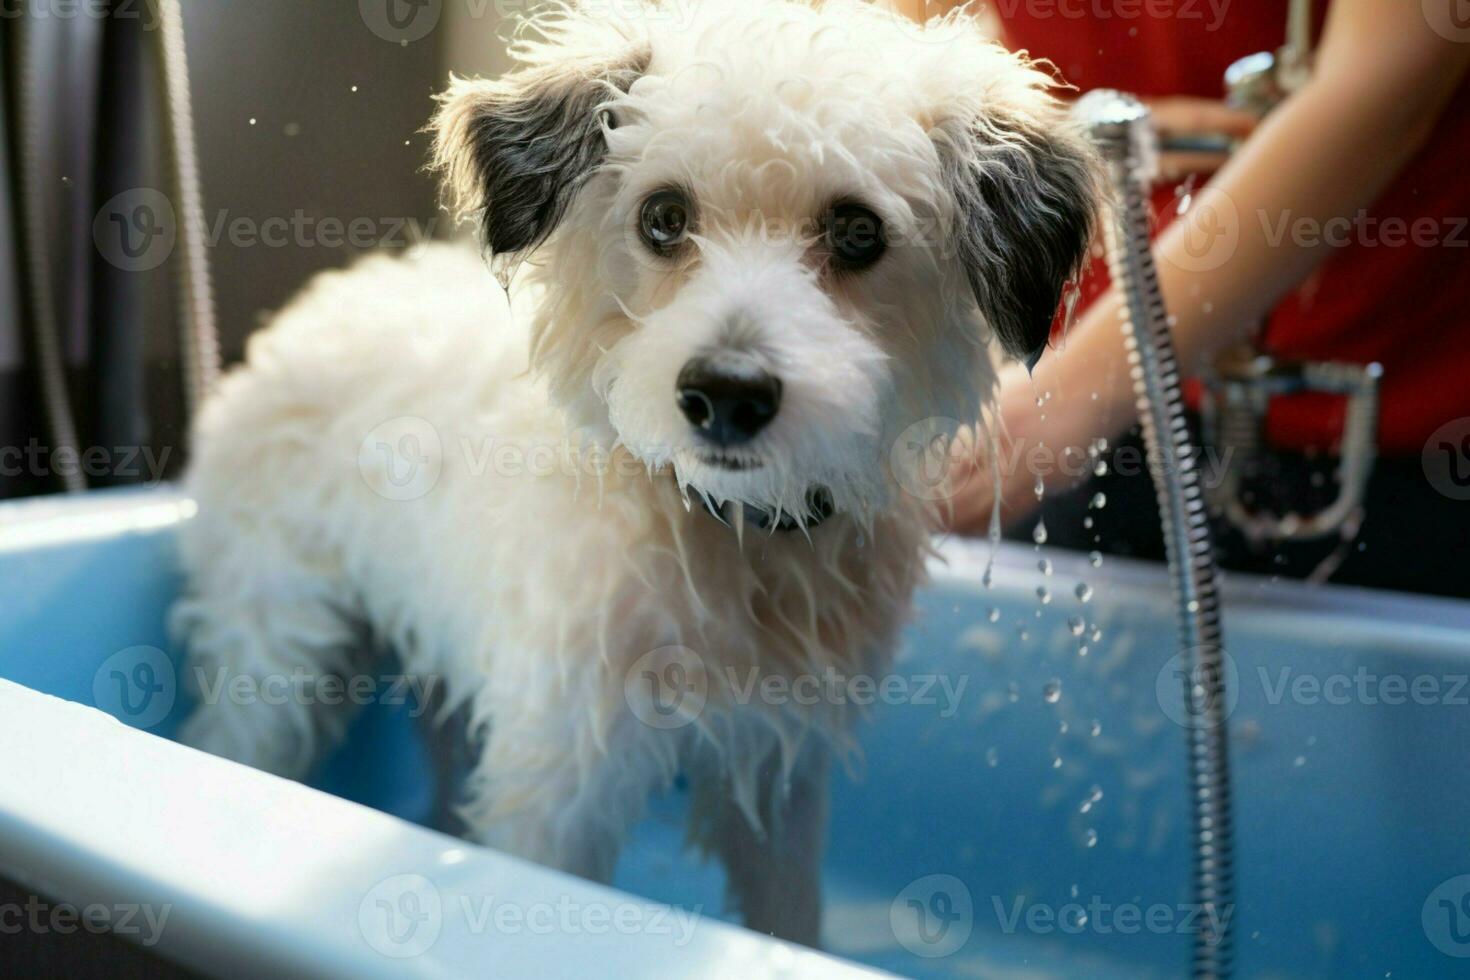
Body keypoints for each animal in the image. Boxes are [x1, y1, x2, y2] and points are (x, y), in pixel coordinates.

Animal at [174, 0, 1093, 946]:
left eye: (857, 231)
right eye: (663, 216)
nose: (726, 393)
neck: (726, 526)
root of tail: (317, 302)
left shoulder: (779, 769)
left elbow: (788, 915)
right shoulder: (559, 780)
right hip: (278, 659)